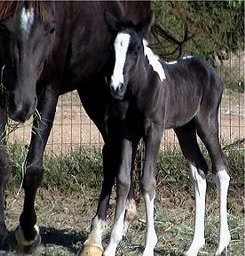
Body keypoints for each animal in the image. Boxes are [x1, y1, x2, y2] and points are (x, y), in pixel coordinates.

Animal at [102, 11, 232, 255]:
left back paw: (222, 244)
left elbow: (147, 181)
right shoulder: (127, 133)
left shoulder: (154, 130)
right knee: (199, 172)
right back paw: (194, 246)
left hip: (207, 124)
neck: (141, 88)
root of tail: (210, 70)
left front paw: (148, 246)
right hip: (185, 130)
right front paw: (111, 246)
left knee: (221, 170)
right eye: (113, 48)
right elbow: (123, 181)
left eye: (135, 49)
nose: (115, 87)